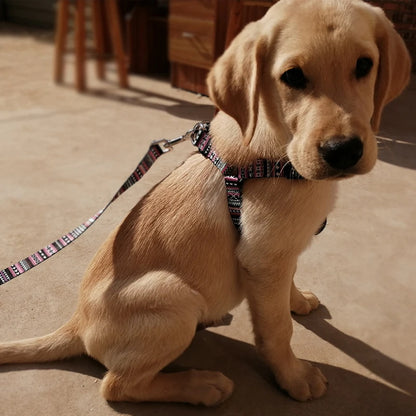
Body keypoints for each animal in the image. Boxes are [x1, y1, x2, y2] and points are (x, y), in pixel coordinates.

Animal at [0, 0, 410, 406]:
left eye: (365, 65)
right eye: (292, 77)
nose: (343, 151)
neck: (277, 154)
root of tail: (77, 323)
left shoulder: (277, 253)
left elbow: (288, 284)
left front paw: (296, 300)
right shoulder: (263, 257)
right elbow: (277, 329)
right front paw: (294, 377)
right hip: (174, 296)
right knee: (116, 386)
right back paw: (201, 385)